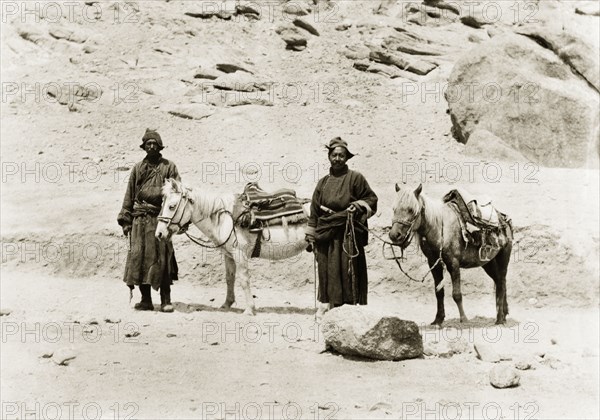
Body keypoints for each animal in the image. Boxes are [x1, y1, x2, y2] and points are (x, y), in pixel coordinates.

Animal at [155, 178, 310, 316]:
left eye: (171, 206)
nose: (159, 233)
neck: (225, 219)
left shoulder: (239, 254)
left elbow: (244, 280)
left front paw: (249, 309)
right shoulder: (228, 255)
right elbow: (229, 278)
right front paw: (227, 304)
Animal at [392, 183, 512, 324]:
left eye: (411, 210)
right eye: (394, 209)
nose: (394, 235)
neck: (439, 228)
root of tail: (503, 219)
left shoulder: (453, 263)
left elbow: (457, 294)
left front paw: (463, 319)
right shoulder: (434, 263)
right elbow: (439, 292)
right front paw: (438, 319)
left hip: (503, 258)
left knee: (501, 283)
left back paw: (499, 319)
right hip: (488, 263)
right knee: (499, 281)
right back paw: (503, 314)